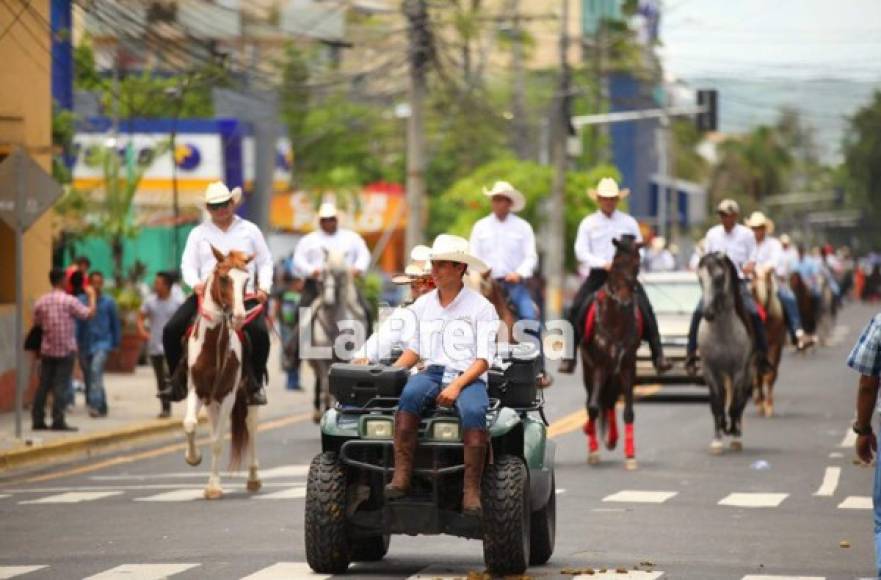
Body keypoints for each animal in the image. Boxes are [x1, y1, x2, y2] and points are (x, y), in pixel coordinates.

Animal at [180, 245, 260, 498]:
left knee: (251, 426)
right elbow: (190, 424)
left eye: (247, 280)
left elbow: (217, 441)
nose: (239, 316)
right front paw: (193, 457)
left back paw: (253, 476)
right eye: (224, 278)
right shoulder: (197, 390)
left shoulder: (228, 395)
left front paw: (213, 486)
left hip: (247, 395)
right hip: (211, 400)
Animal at [580, 238, 644, 468]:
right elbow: (592, 407)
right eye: (615, 265)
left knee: (609, 401)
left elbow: (628, 411)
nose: (625, 301)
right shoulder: (599, 366)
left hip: (614, 374)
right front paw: (592, 449)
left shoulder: (627, 367)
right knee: (594, 402)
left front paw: (631, 455)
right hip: (589, 370)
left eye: (636, 265)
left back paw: (613, 439)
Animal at [696, 253, 756, 454]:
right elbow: (717, 403)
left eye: (719, 278)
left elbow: (735, 404)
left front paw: (734, 435)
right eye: (700, 279)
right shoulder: (710, 370)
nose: (707, 313)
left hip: (749, 373)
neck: (722, 332)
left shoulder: (739, 371)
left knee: (741, 401)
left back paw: (736, 431)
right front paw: (717, 439)